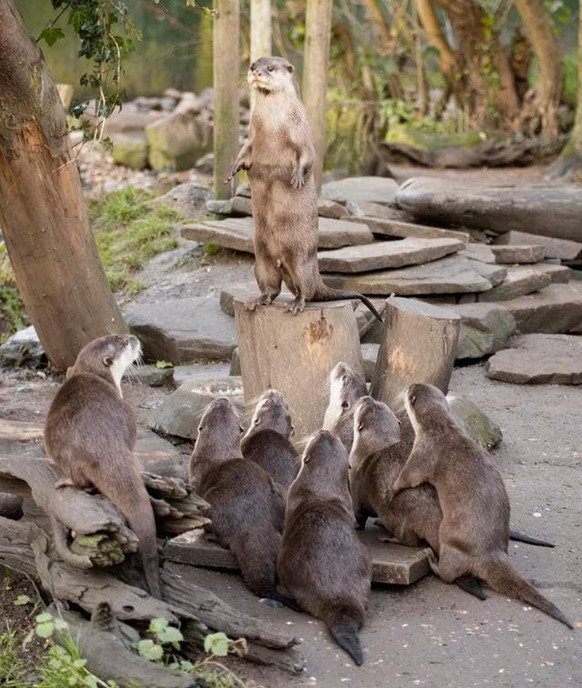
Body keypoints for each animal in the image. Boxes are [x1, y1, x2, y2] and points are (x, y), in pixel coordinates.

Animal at [189, 396, 288, 600]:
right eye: (225, 404)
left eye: (211, 405)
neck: (218, 452)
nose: (223, 399)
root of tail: (254, 525)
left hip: (214, 505)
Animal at [227, 55, 384, 322]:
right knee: (272, 287)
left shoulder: (301, 133)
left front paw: (298, 178)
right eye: (252, 65)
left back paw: (296, 304)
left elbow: (307, 157)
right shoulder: (251, 137)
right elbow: (243, 153)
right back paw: (258, 300)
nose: (256, 73)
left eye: (270, 68)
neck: (272, 124)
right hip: (261, 261)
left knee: (305, 290)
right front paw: (232, 171)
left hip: (300, 260)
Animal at [278, 430, 370, 668]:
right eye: (331, 437)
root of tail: (338, 595)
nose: (324, 431)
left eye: (316, 436)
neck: (320, 491)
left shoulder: (292, 494)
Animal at [392, 382, 576, 628]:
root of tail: (491, 553)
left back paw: (432, 560)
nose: (406, 387)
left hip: (451, 539)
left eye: (409, 389)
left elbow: (407, 479)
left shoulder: (423, 454)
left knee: (449, 574)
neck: (441, 430)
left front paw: (392, 490)